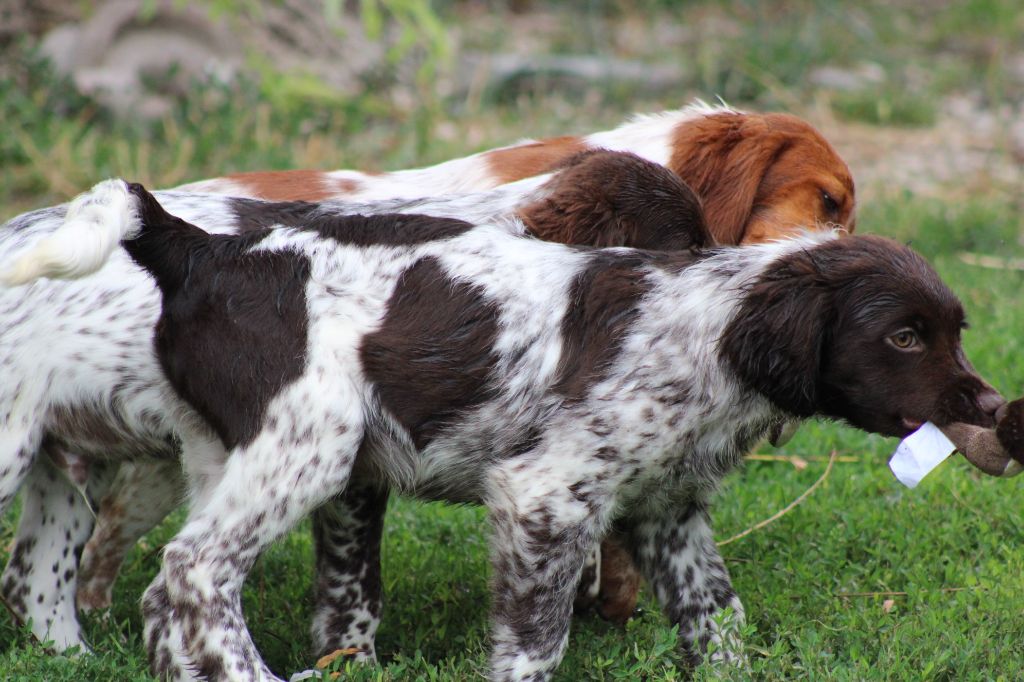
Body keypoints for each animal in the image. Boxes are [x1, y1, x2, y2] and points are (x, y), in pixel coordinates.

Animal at [12, 176, 999, 679]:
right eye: (904, 337)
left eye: (954, 331)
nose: (992, 411)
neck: (709, 330)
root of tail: (200, 246)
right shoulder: (545, 501)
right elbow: (535, 643)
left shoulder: (668, 509)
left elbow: (717, 616)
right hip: (306, 442)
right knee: (190, 576)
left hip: (226, 450)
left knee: (163, 598)